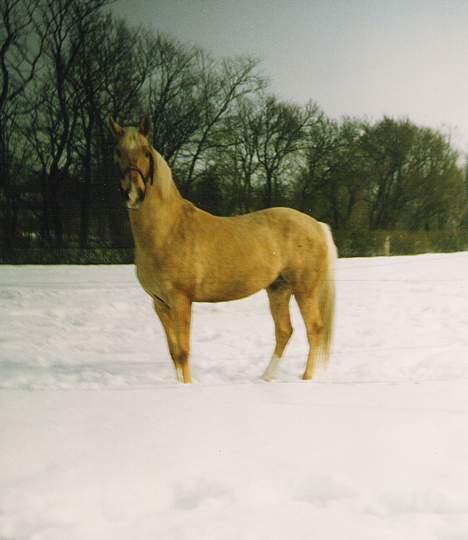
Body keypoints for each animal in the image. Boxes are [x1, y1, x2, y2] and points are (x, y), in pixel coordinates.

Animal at [109, 116, 336, 382]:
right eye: (118, 151)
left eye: (145, 151)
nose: (133, 193)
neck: (168, 230)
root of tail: (316, 224)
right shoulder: (160, 303)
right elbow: (174, 352)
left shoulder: (180, 300)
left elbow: (184, 351)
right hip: (278, 289)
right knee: (284, 331)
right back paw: (266, 378)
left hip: (304, 290)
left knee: (314, 329)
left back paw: (306, 378)